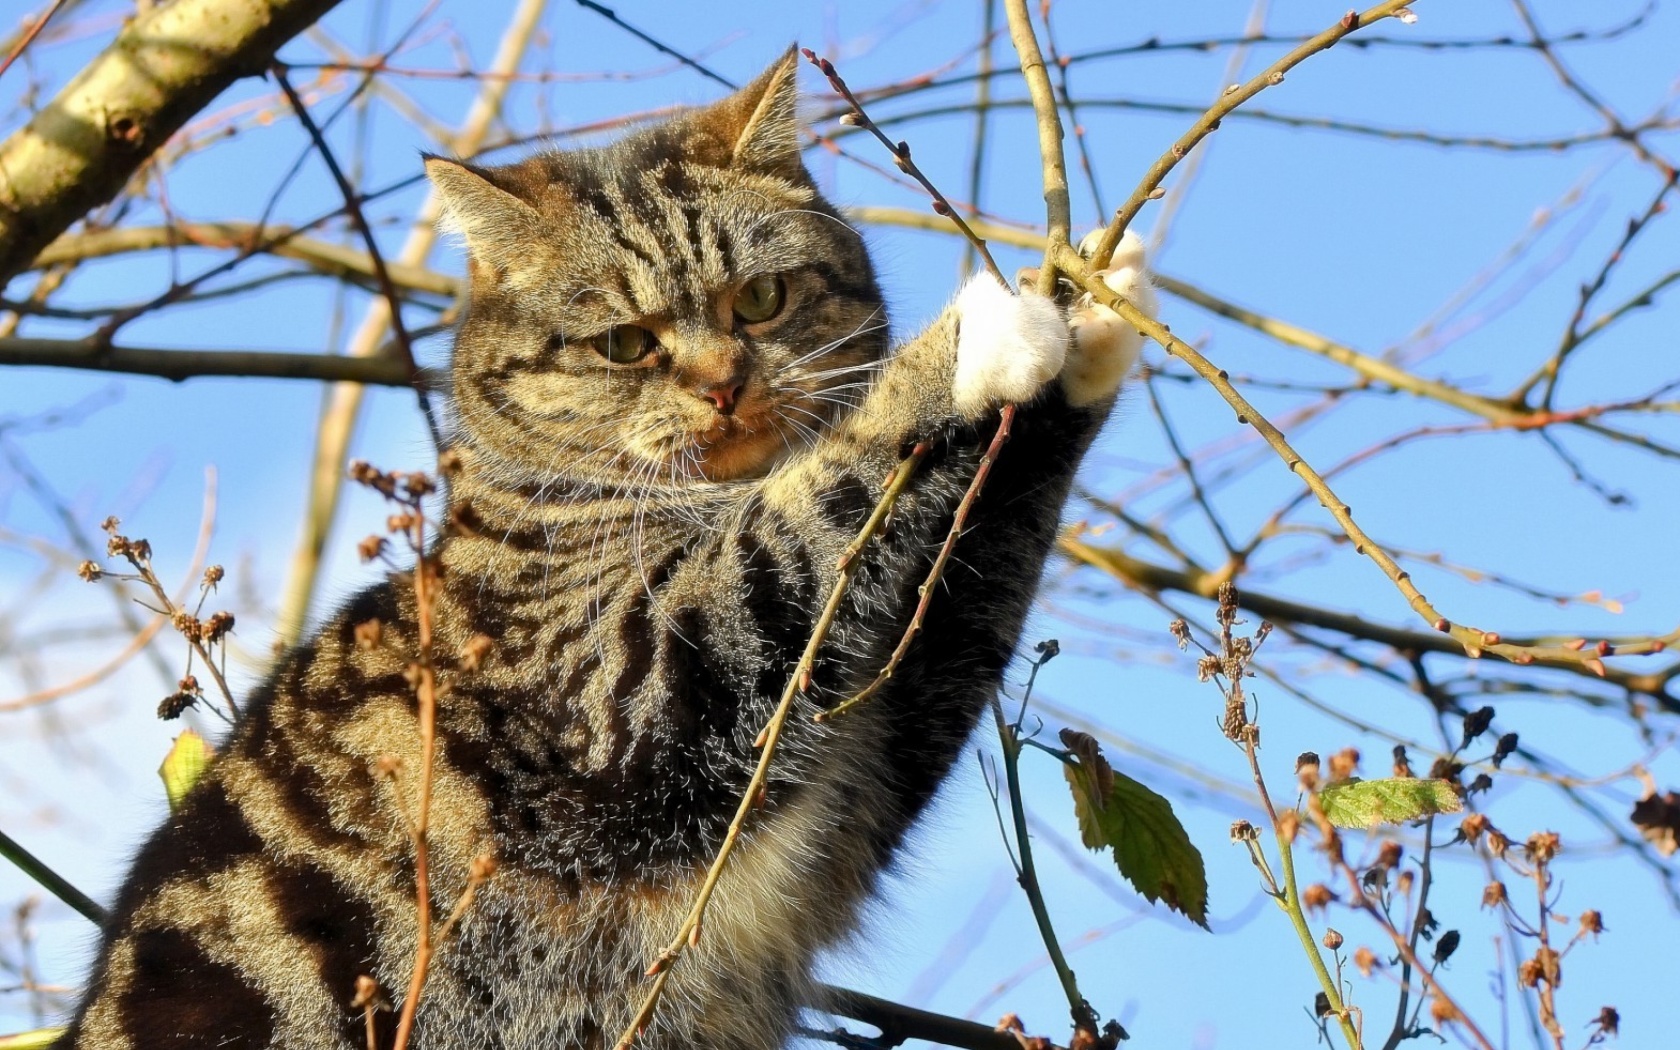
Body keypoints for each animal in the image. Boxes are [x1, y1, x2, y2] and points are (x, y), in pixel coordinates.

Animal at [52, 47, 1155, 1048]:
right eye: (626, 345)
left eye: (762, 299)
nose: (724, 385)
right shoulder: (638, 682)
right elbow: (816, 497)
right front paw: (980, 336)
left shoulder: (873, 748)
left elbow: (976, 564)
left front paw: (1094, 316)